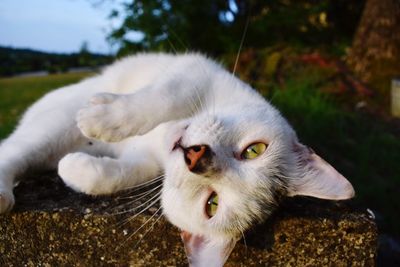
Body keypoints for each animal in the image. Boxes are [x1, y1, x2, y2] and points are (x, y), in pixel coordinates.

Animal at [1, 53, 354, 266]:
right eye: (254, 150)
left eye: (212, 203)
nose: (198, 158)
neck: (160, 140)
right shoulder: (195, 72)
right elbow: (160, 100)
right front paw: (102, 118)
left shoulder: (143, 163)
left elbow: (113, 176)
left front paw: (76, 167)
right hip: (54, 123)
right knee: (14, 149)